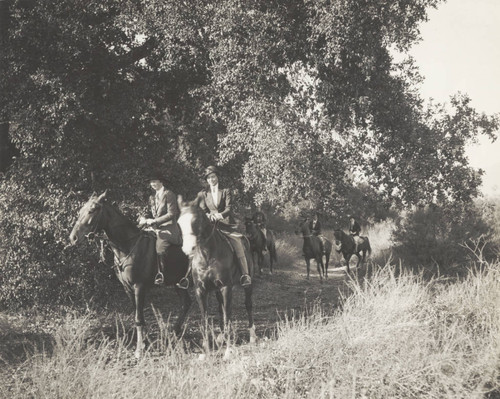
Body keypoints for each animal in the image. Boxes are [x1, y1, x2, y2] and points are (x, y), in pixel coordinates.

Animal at [71, 191, 192, 360]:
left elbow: (138, 317)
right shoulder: (128, 288)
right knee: (186, 303)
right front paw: (145, 343)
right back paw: (174, 332)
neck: (128, 246)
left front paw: (139, 350)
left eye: (92, 210)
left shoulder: (139, 286)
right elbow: (137, 314)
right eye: (81, 209)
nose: (73, 238)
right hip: (179, 282)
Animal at [177, 198, 258, 354]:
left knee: (248, 305)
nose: (188, 249)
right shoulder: (200, 290)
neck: (207, 254)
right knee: (221, 309)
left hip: (248, 284)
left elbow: (228, 315)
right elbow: (205, 318)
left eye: (196, 220)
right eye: (179, 222)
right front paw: (205, 350)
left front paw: (228, 351)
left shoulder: (226, 287)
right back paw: (221, 337)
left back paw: (252, 335)